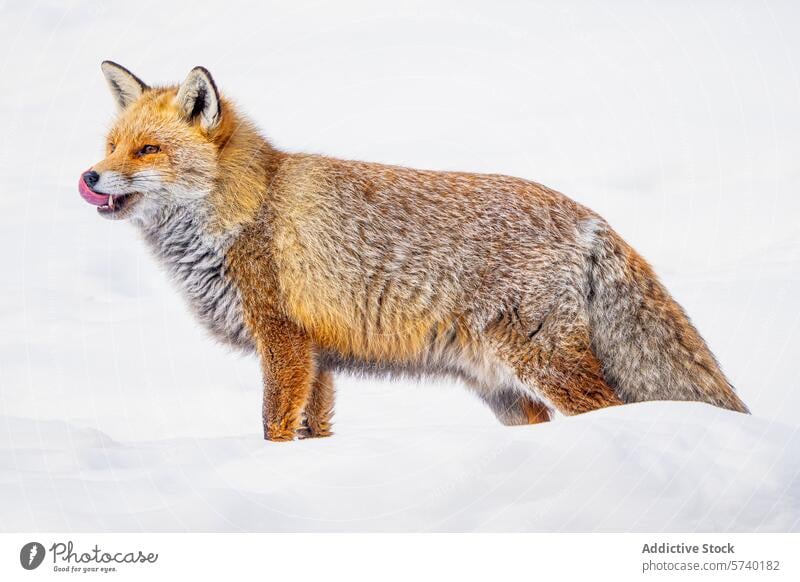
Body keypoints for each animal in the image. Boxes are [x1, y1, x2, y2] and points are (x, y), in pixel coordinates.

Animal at [78, 60, 748, 442]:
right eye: (111, 145)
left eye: (148, 150)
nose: (89, 177)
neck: (246, 208)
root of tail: (589, 216)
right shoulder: (319, 353)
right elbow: (314, 429)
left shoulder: (284, 338)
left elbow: (273, 425)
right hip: (501, 388)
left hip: (542, 362)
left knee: (604, 408)